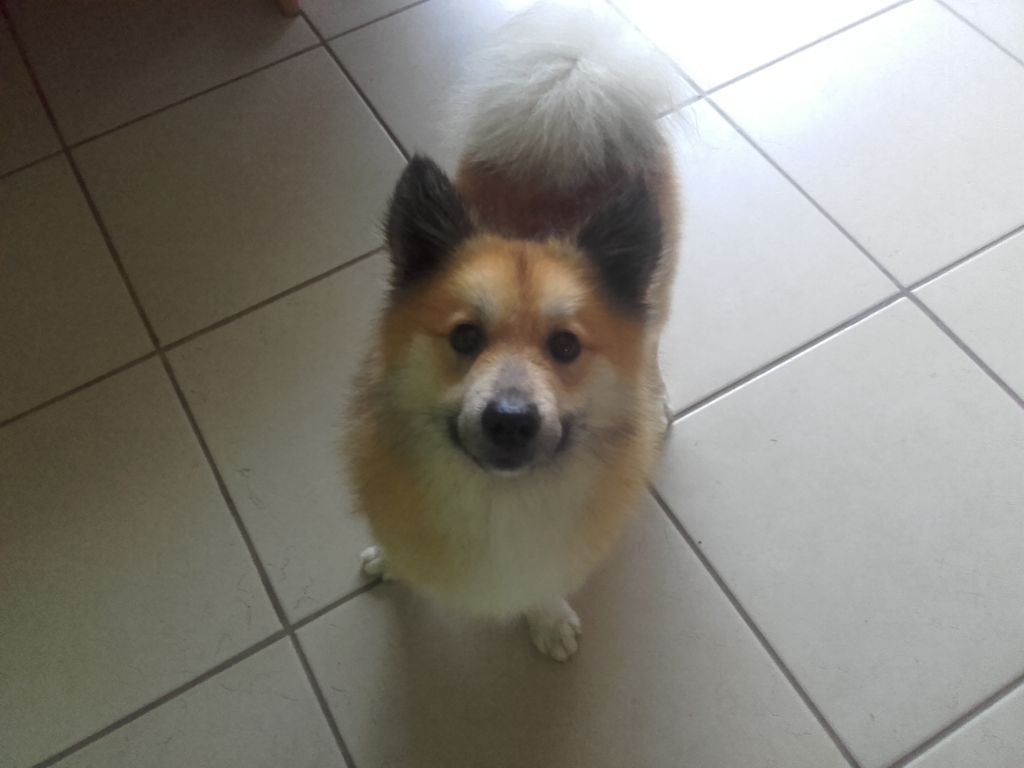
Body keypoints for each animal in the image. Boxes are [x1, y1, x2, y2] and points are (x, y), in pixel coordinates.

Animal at [344, 3, 681, 661]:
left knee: (653, 343)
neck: (497, 497)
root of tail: (576, 85)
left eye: (566, 346)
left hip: (662, 291)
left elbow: (543, 582)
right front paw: (391, 562)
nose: (510, 421)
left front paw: (547, 619)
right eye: (465, 338)